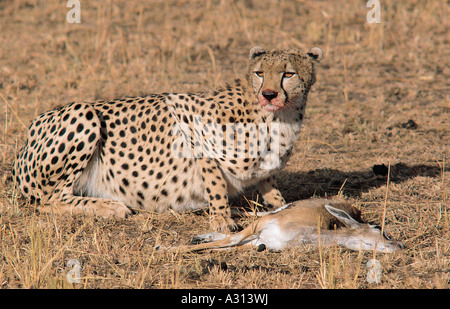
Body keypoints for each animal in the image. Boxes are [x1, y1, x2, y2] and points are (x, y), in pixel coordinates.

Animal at [14, 45, 324, 231]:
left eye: (288, 73)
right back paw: (110, 207)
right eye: (260, 73)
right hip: (84, 113)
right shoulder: (192, 123)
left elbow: (271, 188)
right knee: (49, 200)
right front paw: (221, 220)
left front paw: (281, 207)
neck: (280, 117)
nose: (268, 94)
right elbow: (215, 185)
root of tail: (27, 136)